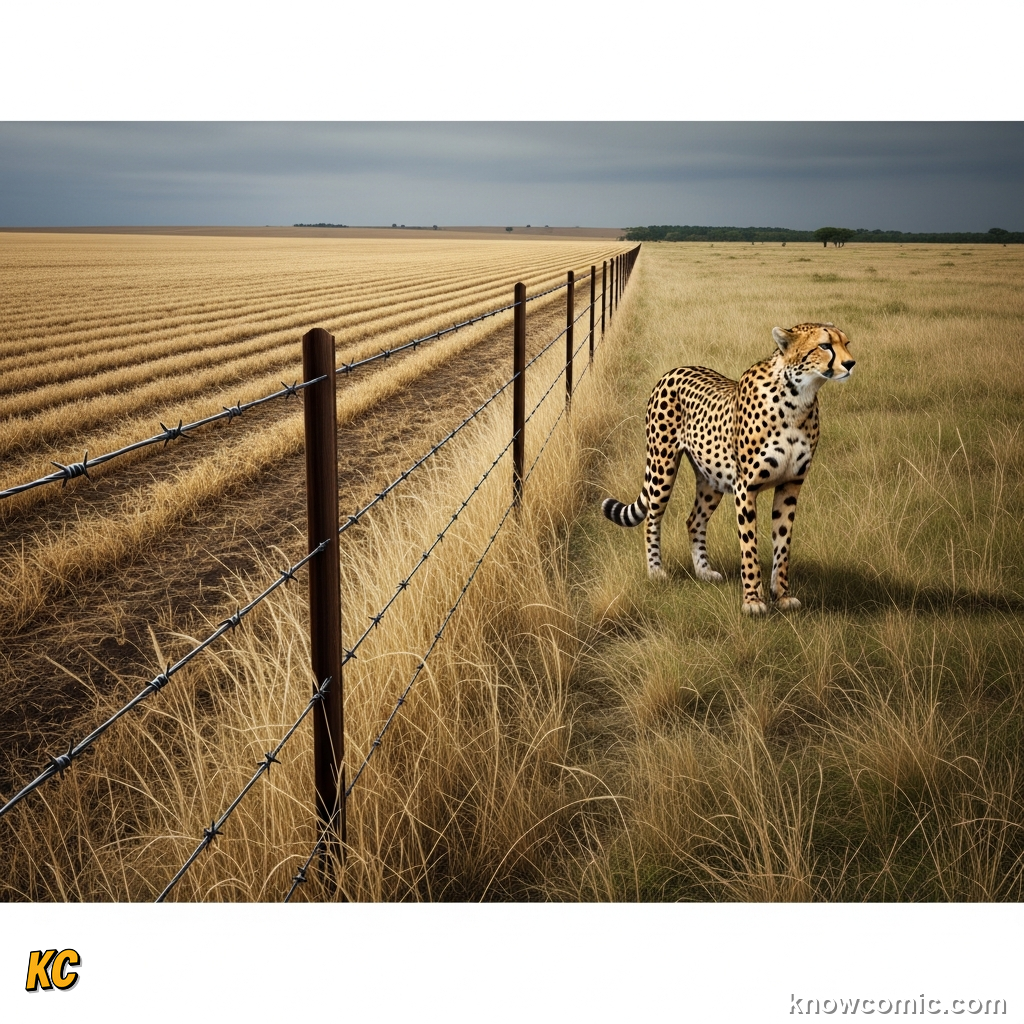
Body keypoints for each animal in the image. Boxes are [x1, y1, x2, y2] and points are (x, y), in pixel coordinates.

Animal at [602, 322, 855, 615]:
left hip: (711, 478)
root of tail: (674, 370)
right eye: (824, 345)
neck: (797, 399)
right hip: (662, 466)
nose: (851, 363)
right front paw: (753, 601)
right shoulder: (746, 487)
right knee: (652, 518)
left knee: (694, 520)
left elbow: (782, 544)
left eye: (846, 342)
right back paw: (656, 571)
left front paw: (782, 596)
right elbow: (749, 546)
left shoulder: (791, 484)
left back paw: (703, 572)